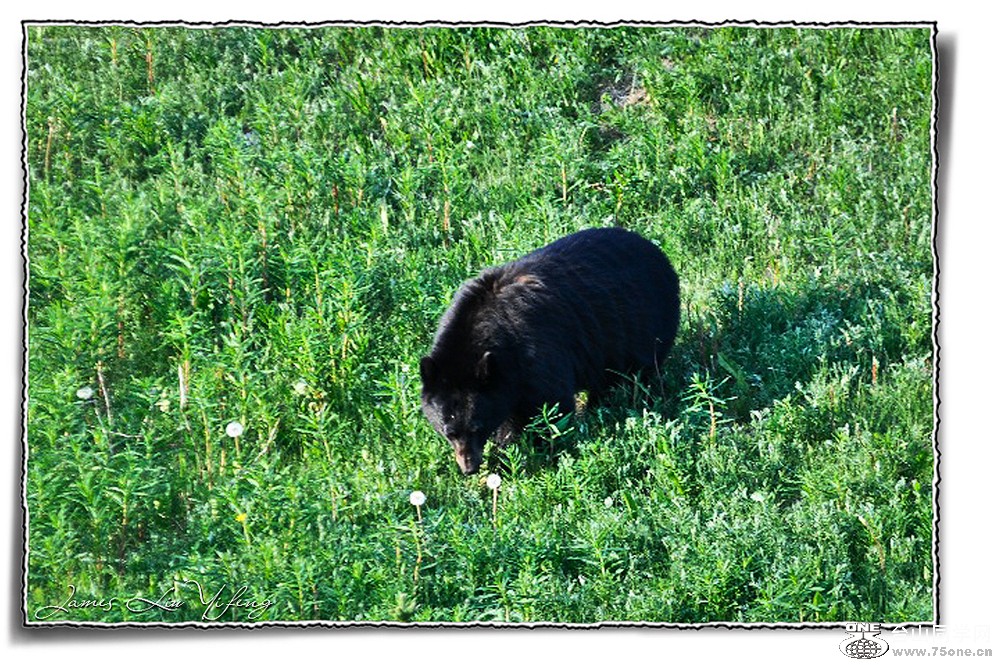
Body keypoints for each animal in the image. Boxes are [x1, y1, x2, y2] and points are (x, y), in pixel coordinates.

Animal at [418, 227, 684, 472]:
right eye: (448, 431)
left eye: (476, 426)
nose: (469, 468)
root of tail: (655, 250)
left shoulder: (535, 355)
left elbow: (552, 406)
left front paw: (520, 454)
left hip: (644, 327)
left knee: (632, 376)